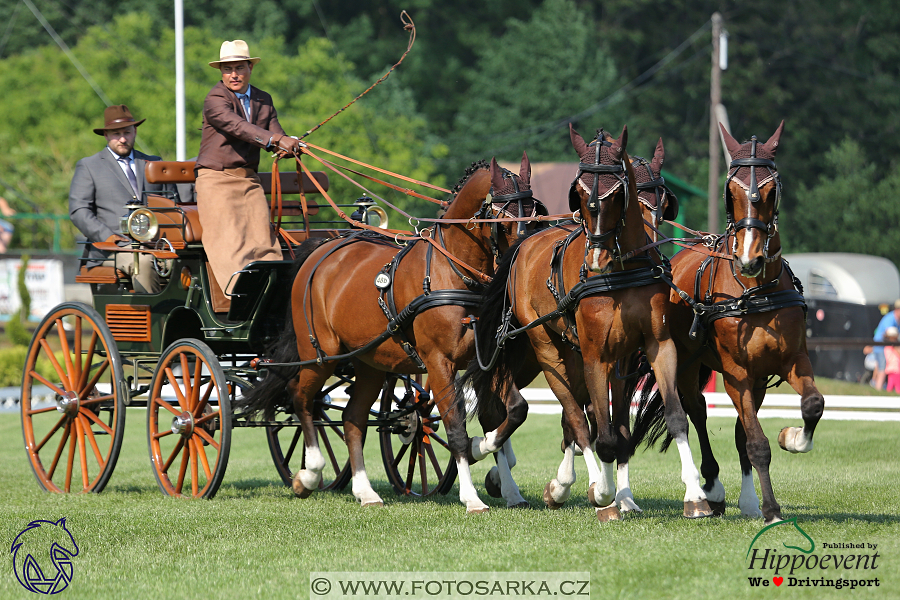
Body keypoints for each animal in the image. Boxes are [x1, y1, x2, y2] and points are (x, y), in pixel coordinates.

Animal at [239, 154, 544, 510]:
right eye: (502, 219)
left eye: (535, 214)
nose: (520, 260)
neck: (451, 271)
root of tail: (322, 249)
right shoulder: (439, 363)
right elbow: (456, 427)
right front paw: (472, 496)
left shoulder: (487, 361)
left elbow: (511, 412)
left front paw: (499, 475)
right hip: (321, 353)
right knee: (302, 398)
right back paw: (310, 473)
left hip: (368, 363)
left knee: (352, 418)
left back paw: (364, 491)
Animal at [464, 125, 712, 520]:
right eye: (579, 192)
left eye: (619, 192)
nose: (597, 257)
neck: (623, 268)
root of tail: (526, 244)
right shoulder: (597, 354)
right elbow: (602, 433)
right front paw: (604, 494)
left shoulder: (652, 347)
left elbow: (668, 418)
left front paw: (692, 495)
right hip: (548, 349)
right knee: (574, 417)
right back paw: (564, 482)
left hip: (574, 351)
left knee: (578, 417)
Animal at [632, 122, 824, 524]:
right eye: (730, 190)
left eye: (771, 189)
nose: (750, 259)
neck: (755, 290)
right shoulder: (737, 372)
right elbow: (756, 442)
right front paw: (771, 510)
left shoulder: (788, 362)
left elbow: (811, 405)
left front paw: (792, 438)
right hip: (688, 364)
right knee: (698, 411)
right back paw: (711, 486)